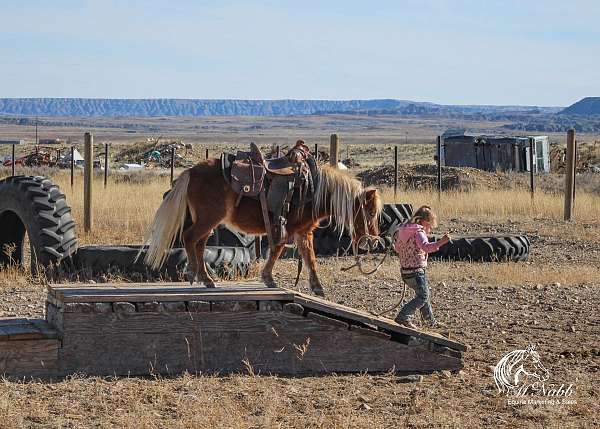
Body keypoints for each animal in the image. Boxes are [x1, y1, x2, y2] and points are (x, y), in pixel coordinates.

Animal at [142, 156, 380, 294]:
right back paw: (195, 273)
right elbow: (277, 250)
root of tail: (190, 172)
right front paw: (268, 279)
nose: (374, 242)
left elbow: (310, 257)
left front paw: (317, 287)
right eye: (370, 212)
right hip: (209, 218)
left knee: (199, 244)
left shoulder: (304, 231)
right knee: (190, 238)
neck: (313, 189)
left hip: (208, 221)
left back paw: (206, 278)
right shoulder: (288, 228)